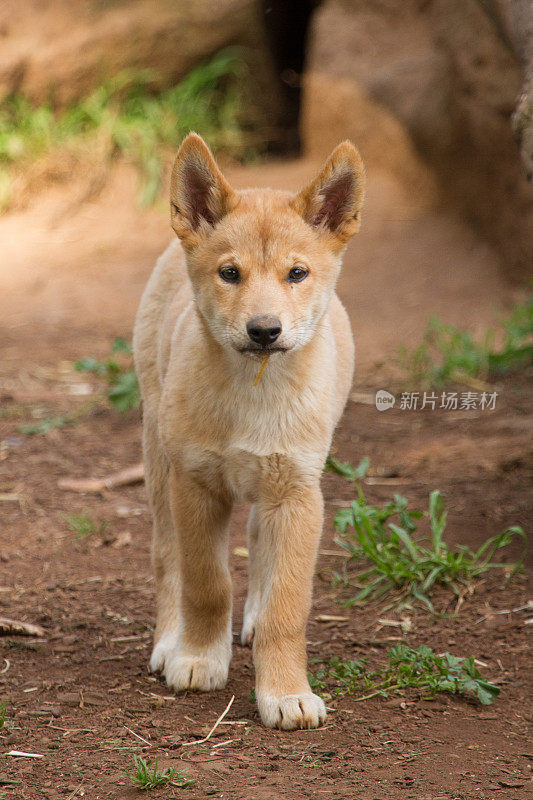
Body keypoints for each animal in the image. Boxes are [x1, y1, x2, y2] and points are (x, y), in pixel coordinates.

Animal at [133, 133, 366, 732]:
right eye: (230, 274)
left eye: (297, 274)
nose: (264, 330)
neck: (254, 391)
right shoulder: (196, 486)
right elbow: (207, 584)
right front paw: (197, 658)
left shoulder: (298, 492)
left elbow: (289, 603)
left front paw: (285, 692)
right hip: (157, 457)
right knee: (166, 555)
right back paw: (171, 639)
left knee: (260, 541)